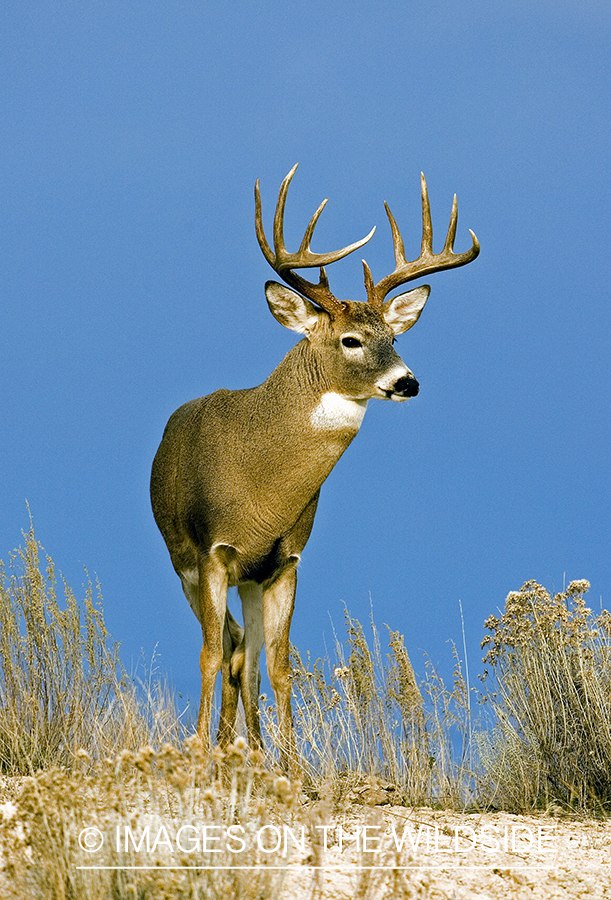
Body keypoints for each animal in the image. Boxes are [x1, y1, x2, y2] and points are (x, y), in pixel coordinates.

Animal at [151, 165, 480, 764]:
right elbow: (209, 654)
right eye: (350, 339)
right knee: (226, 648)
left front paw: (290, 764)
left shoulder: (285, 560)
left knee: (246, 655)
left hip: (250, 580)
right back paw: (222, 745)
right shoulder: (211, 553)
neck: (263, 491)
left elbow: (280, 665)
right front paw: (200, 753)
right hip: (182, 560)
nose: (408, 382)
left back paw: (248, 747)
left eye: (393, 336)